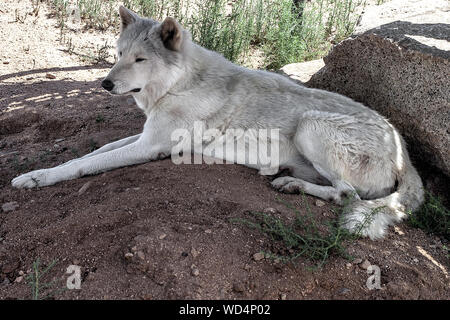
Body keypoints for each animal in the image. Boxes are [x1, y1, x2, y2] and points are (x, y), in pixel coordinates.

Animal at [12, 6, 424, 239]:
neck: (178, 84)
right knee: (337, 190)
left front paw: (39, 178)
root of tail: (406, 154)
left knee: (347, 195)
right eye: (118, 54)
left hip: (311, 126)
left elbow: (84, 165)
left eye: (140, 60)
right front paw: (35, 173)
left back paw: (290, 184)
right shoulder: (143, 136)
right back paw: (286, 179)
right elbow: (92, 152)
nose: (105, 84)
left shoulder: (150, 146)